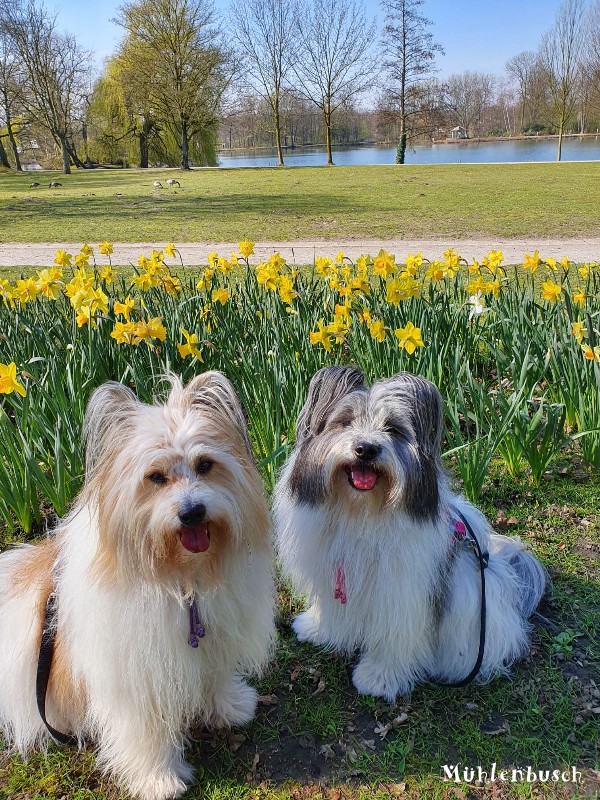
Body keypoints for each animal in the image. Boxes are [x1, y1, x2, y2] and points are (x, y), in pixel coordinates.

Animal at [0, 374, 274, 800]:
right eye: (156, 477)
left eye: (205, 465)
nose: (192, 511)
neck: (181, 578)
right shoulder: (134, 673)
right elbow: (146, 729)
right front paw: (158, 778)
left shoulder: (211, 639)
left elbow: (213, 673)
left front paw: (228, 705)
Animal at [274, 368, 548, 700]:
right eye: (345, 422)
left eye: (392, 429)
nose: (366, 449)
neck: (361, 512)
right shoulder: (335, 572)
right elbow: (331, 606)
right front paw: (318, 629)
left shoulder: (403, 591)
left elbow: (396, 634)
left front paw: (379, 677)